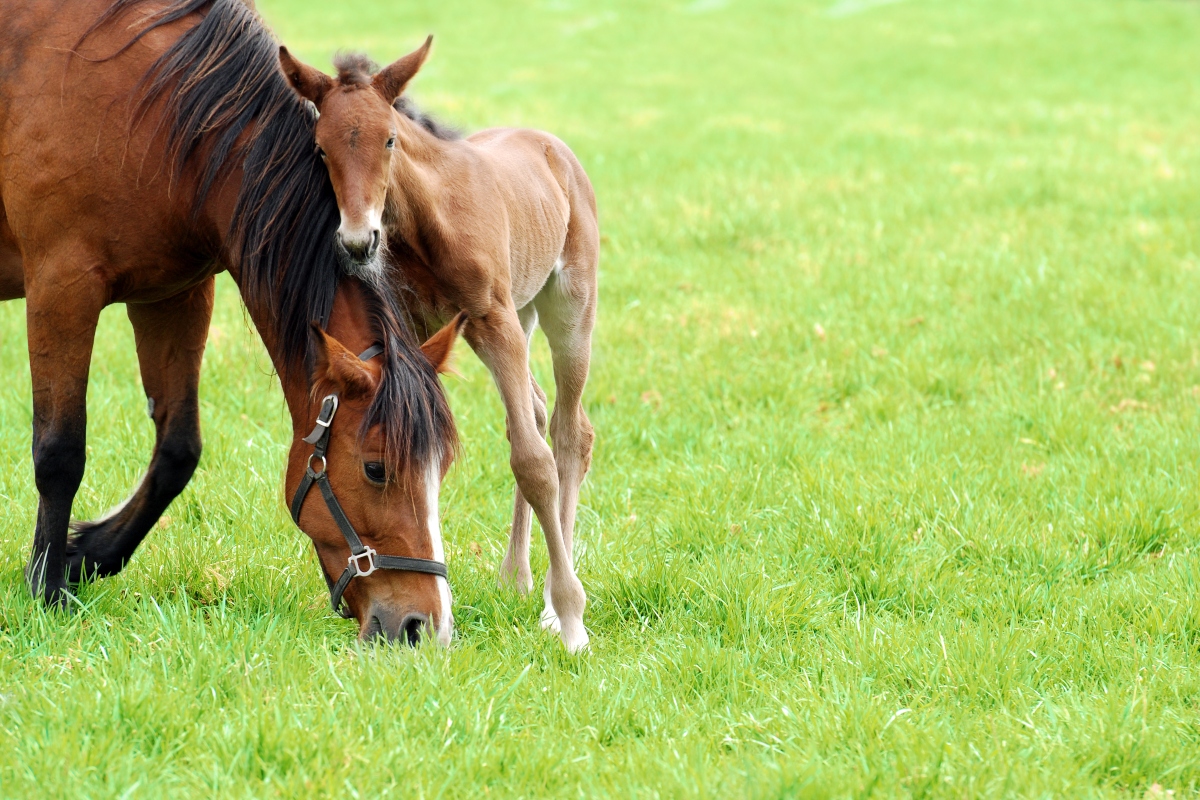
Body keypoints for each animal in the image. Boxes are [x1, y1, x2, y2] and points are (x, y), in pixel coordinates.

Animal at [0, 0, 463, 642]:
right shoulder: (61, 287)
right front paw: (46, 587)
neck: (160, 113)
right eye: (375, 469)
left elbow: (178, 450)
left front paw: (85, 554)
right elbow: (59, 452)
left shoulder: (175, 295)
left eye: (442, 467)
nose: (425, 626)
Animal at [280, 37, 600, 652]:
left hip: (566, 306)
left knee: (570, 431)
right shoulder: (423, 326)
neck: (427, 217)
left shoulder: (493, 317)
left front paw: (572, 621)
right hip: (515, 317)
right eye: (320, 148)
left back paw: (553, 602)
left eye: (389, 138)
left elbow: (534, 461)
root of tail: (554, 148)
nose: (357, 240)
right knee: (536, 411)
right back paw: (516, 575)